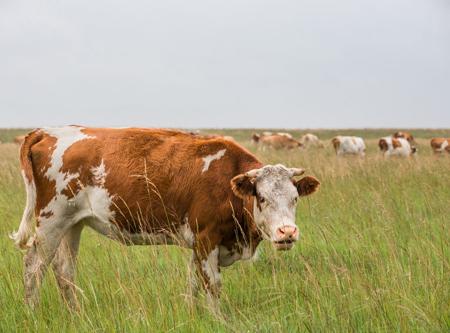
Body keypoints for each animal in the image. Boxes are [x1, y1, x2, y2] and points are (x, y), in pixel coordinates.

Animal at [10, 126, 320, 310]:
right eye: (262, 198)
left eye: (294, 198)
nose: (287, 232)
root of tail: (48, 131)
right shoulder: (206, 238)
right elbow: (212, 285)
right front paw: (217, 319)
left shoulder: (198, 245)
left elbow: (193, 284)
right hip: (51, 221)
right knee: (33, 268)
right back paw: (33, 312)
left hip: (72, 224)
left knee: (64, 271)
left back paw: (76, 314)